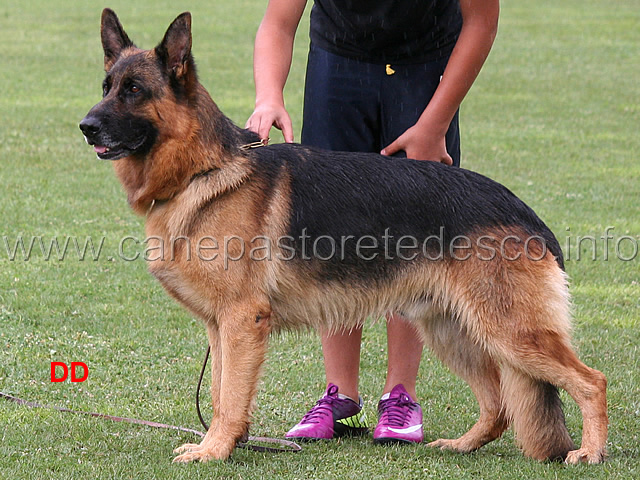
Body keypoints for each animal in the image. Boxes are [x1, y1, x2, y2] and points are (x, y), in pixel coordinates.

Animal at [81, 9, 608, 464]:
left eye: (134, 90)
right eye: (107, 87)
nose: (85, 127)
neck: (202, 169)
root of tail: (527, 214)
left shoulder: (241, 321)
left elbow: (230, 396)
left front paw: (214, 451)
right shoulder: (220, 326)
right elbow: (219, 393)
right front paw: (225, 444)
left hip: (510, 334)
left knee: (592, 381)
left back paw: (590, 452)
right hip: (454, 331)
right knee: (499, 403)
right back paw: (461, 445)